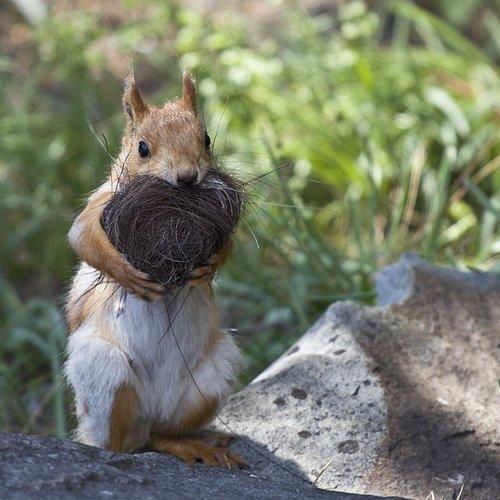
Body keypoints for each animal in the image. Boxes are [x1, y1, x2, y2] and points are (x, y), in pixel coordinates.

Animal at [64, 70, 244, 468]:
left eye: (206, 139)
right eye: (143, 148)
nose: (187, 177)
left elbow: (228, 244)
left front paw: (208, 267)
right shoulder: (102, 200)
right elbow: (82, 236)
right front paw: (126, 273)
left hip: (212, 374)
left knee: (161, 435)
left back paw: (193, 444)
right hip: (104, 371)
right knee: (124, 444)